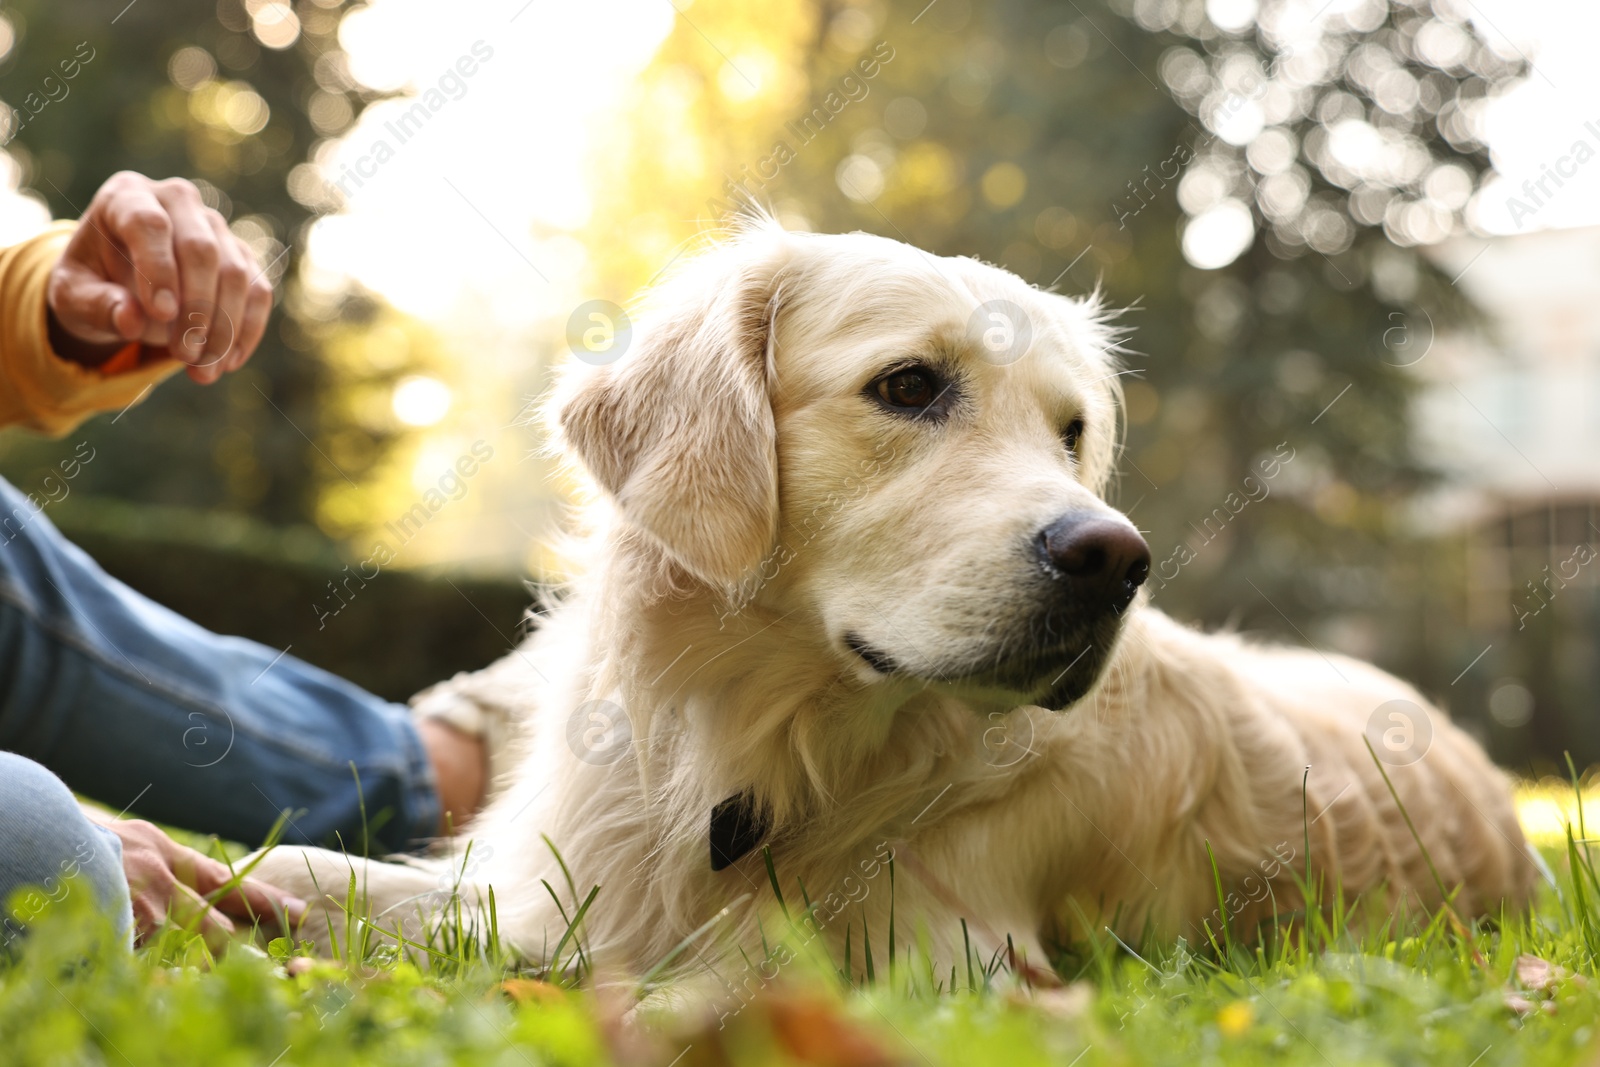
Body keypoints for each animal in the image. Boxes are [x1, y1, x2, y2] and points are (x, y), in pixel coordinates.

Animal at [252, 220, 1536, 991]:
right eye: (909, 385)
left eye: (1070, 431)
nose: (1115, 557)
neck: (768, 750)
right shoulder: (557, 882)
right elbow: (335, 879)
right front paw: (242, 894)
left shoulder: (955, 956)